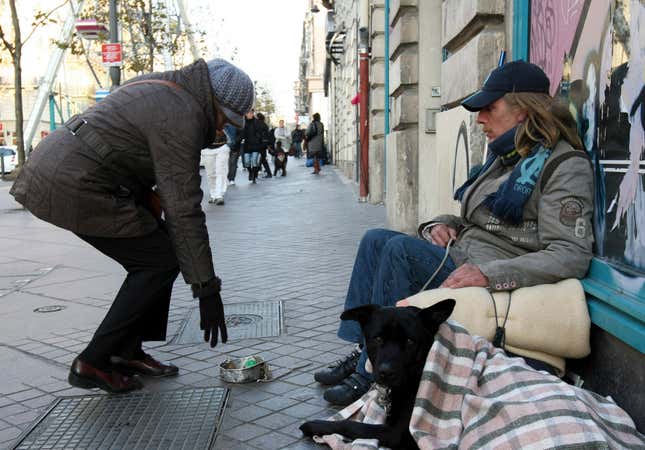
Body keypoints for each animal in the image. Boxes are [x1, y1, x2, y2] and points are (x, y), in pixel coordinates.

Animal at [300, 298, 456, 450]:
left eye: (409, 341)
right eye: (378, 338)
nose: (386, 372)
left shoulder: (397, 432)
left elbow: (350, 425)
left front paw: (314, 425)